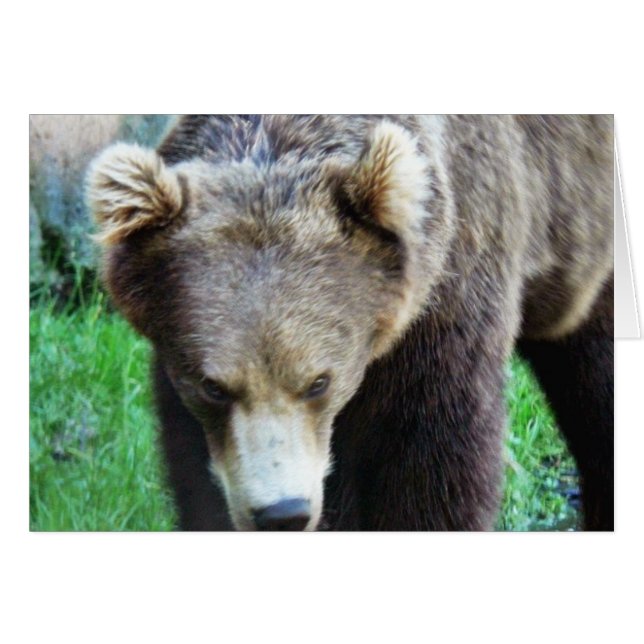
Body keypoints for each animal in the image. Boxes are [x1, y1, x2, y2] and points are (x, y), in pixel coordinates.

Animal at [86, 115, 614, 531]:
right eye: (213, 386)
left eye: (319, 381)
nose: (283, 513)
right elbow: (200, 473)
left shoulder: (444, 310)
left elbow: (432, 469)